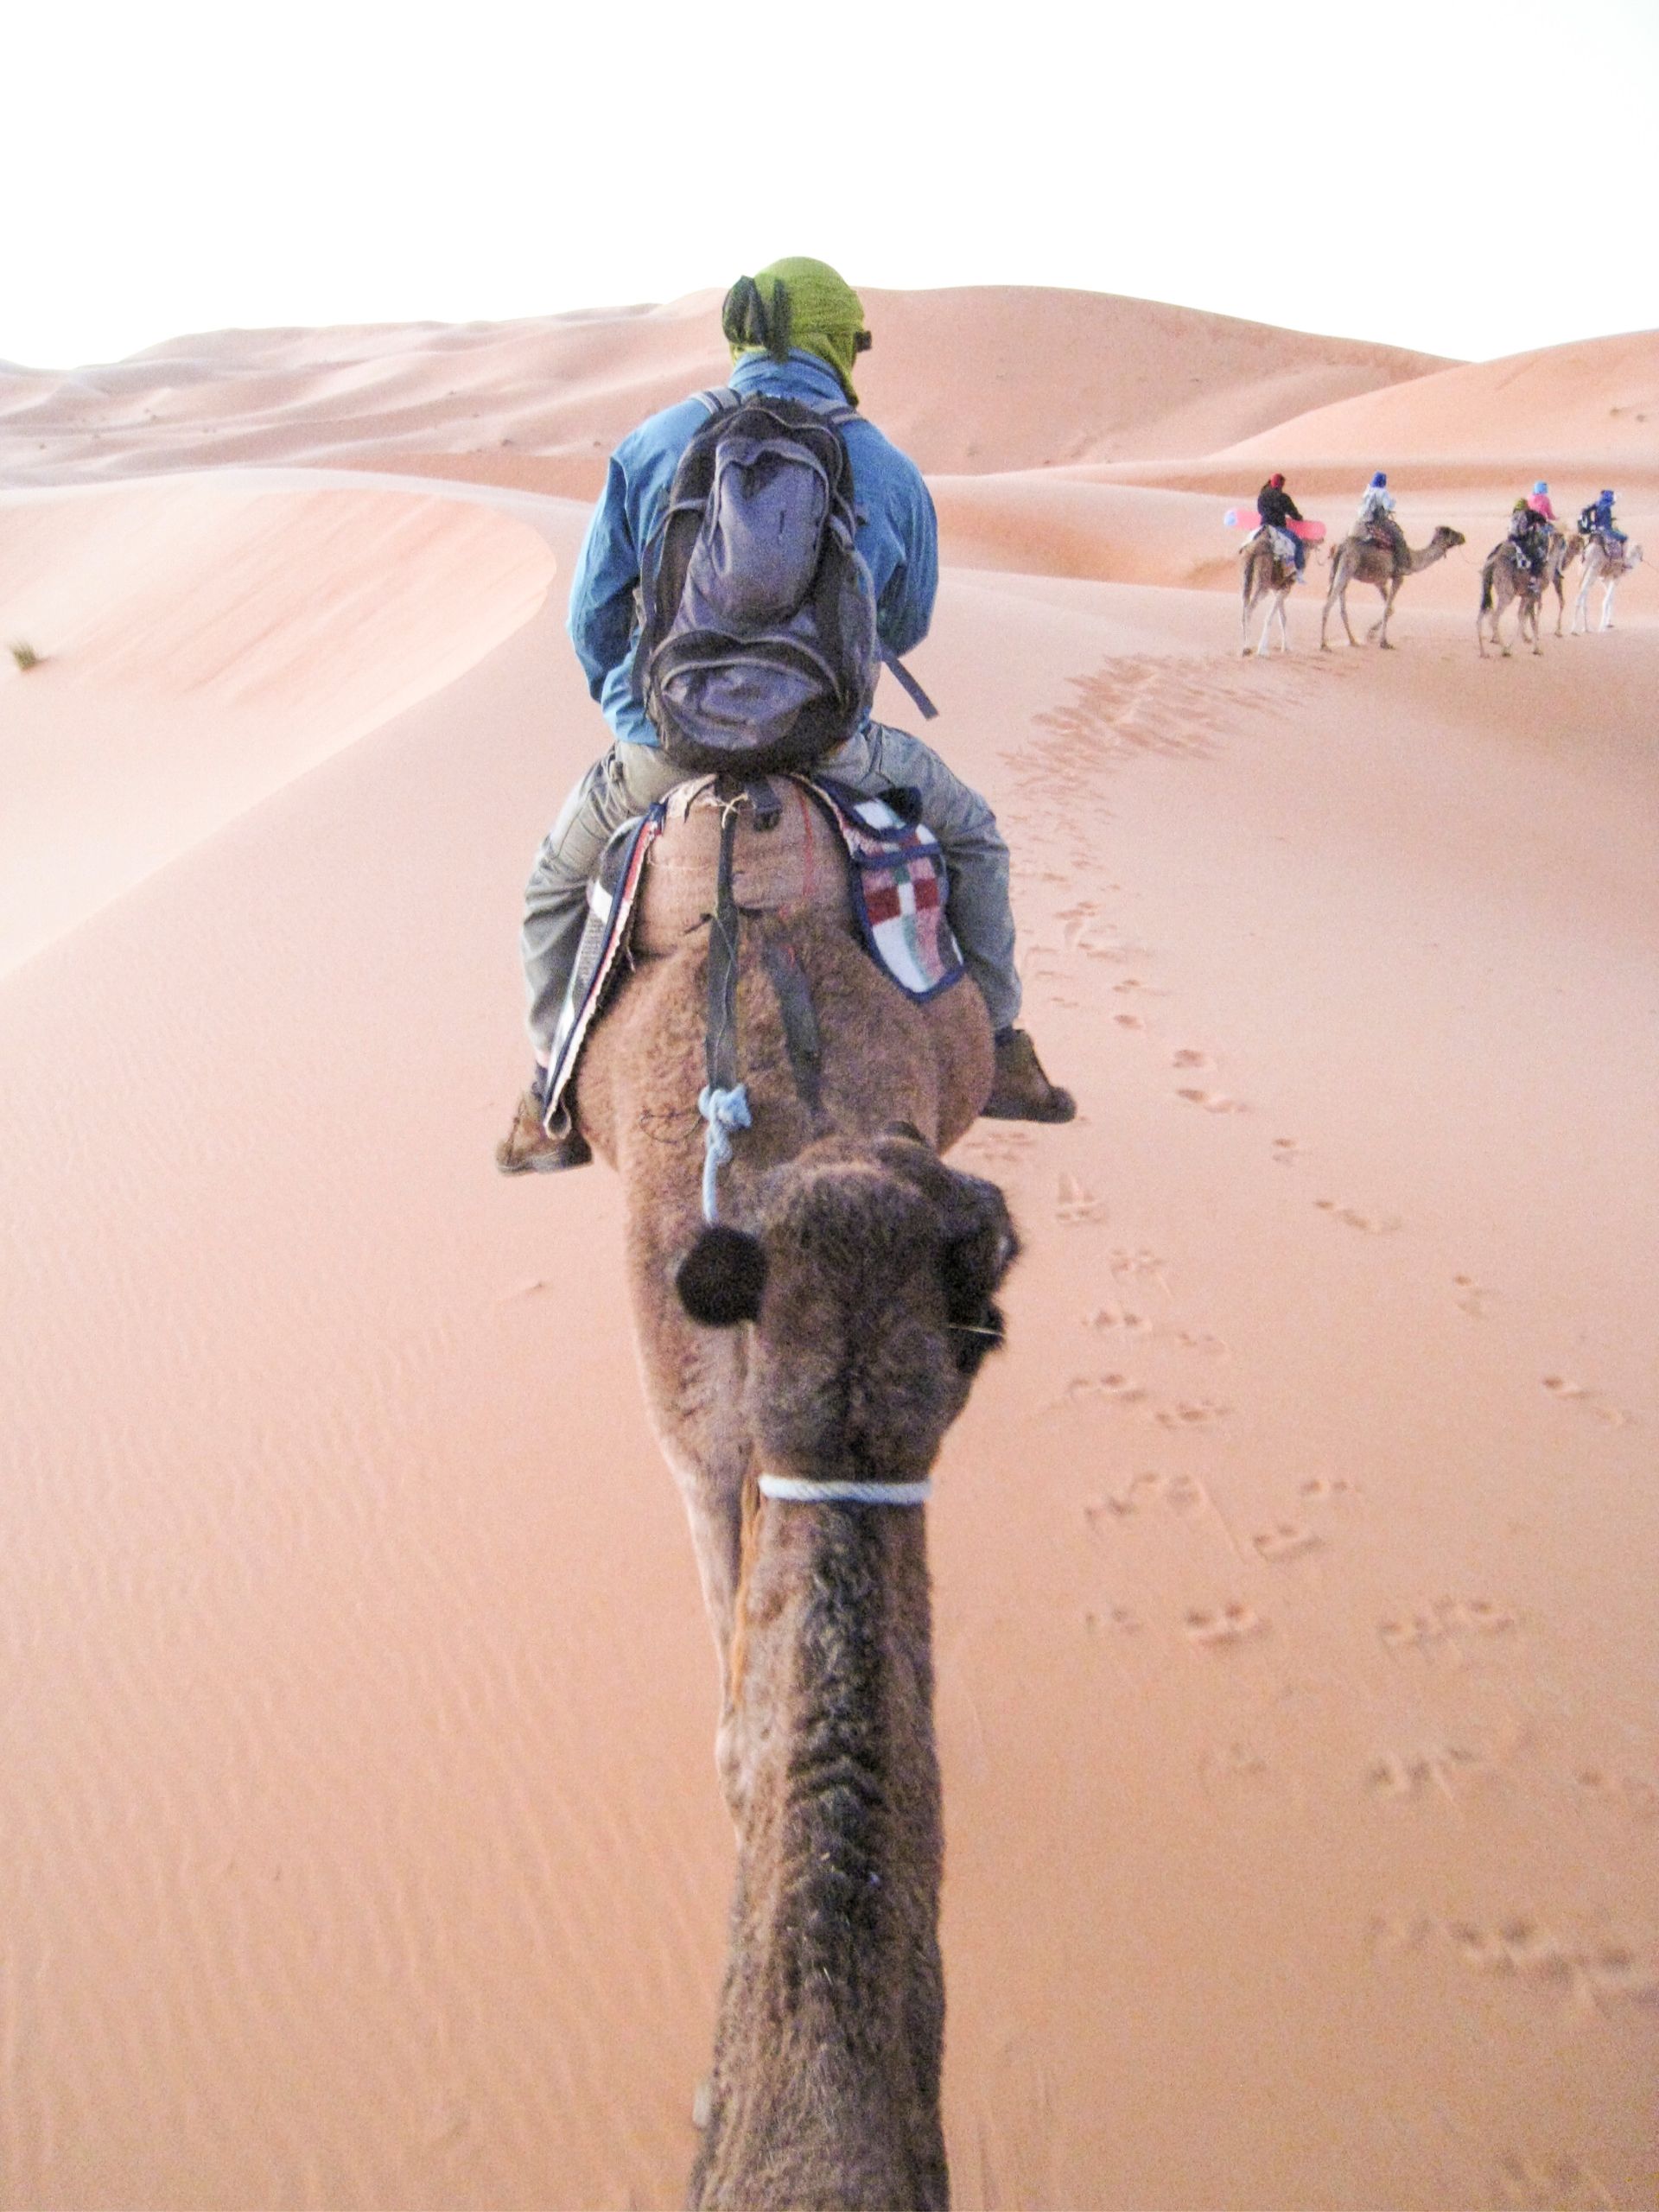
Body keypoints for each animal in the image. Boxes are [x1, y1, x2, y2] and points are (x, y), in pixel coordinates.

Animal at [1238, 529, 1301, 656]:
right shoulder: (1285, 587)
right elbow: (1271, 617)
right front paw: (1262, 650)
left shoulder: (1277, 588)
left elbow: (1282, 618)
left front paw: (1286, 648)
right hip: (1263, 585)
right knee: (1249, 609)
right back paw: (1250, 648)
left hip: (1246, 576)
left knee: (1245, 606)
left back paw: (1245, 648)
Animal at [1320, 525, 1466, 650]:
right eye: (1451, 532)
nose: (1463, 537)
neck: (1413, 558)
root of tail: (1340, 547)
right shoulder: (1398, 577)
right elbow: (1387, 609)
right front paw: (1384, 642)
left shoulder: (1380, 581)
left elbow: (1390, 609)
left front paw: (1371, 634)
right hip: (1346, 567)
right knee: (1327, 605)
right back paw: (1324, 645)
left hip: (1340, 572)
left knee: (1342, 609)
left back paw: (1352, 641)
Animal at [1476, 542, 1545, 659]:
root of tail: (1492, 561)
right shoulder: (1533, 594)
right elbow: (1532, 620)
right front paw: (1536, 649)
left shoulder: (1526, 595)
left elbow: (1522, 616)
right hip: (1507, 594)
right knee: (1494, 619)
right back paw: (1504, 650)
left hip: (1486, 589)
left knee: (1481, 616)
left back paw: (1483, 652)